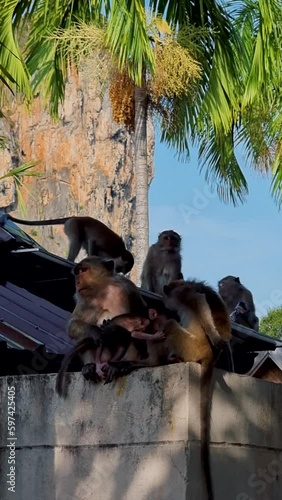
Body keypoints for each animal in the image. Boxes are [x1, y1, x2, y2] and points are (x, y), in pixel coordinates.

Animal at [3, 214, 133, 274]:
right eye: (122, 268)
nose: (119, 272)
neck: (119, 253)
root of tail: (76, 217)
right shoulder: (111, 247)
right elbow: (93, 241)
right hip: (73, 225)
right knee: (77, 241)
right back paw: (70, 260)